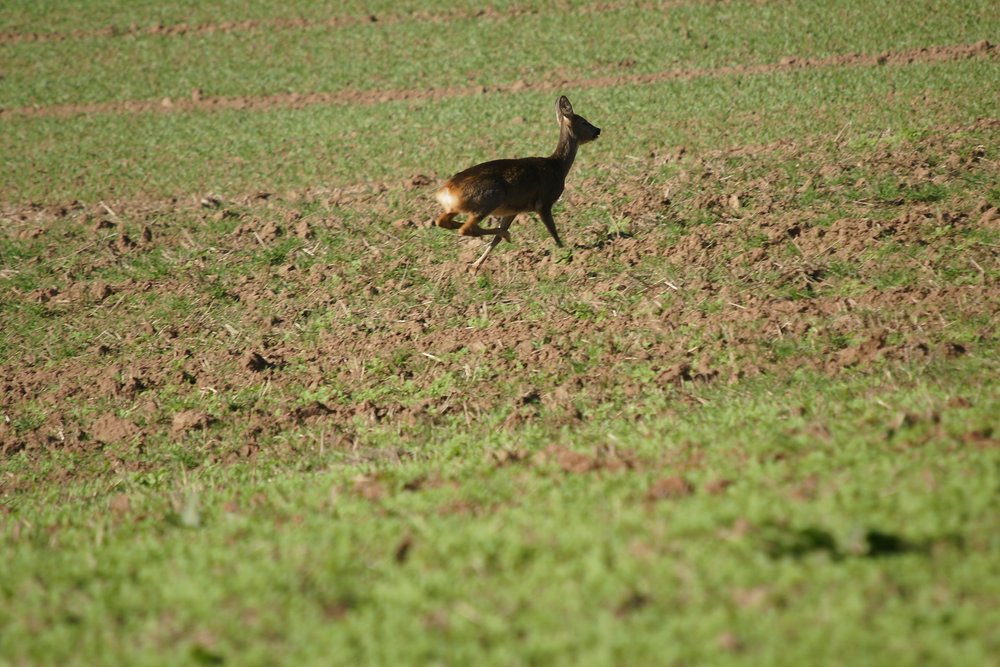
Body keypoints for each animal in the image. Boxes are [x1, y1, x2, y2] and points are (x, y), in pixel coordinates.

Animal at [434, 95, 601, 271]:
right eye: (583, 121)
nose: (598, 130)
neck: (558, 166)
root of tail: (445, 190)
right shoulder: (543, 202)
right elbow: (553, 231)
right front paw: (565, 253)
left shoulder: (512, 210)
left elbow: (496, 240)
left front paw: (476, 265)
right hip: (490, 197)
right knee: (467, 228)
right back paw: (505, 235)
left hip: (460, 206)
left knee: (443, 221)